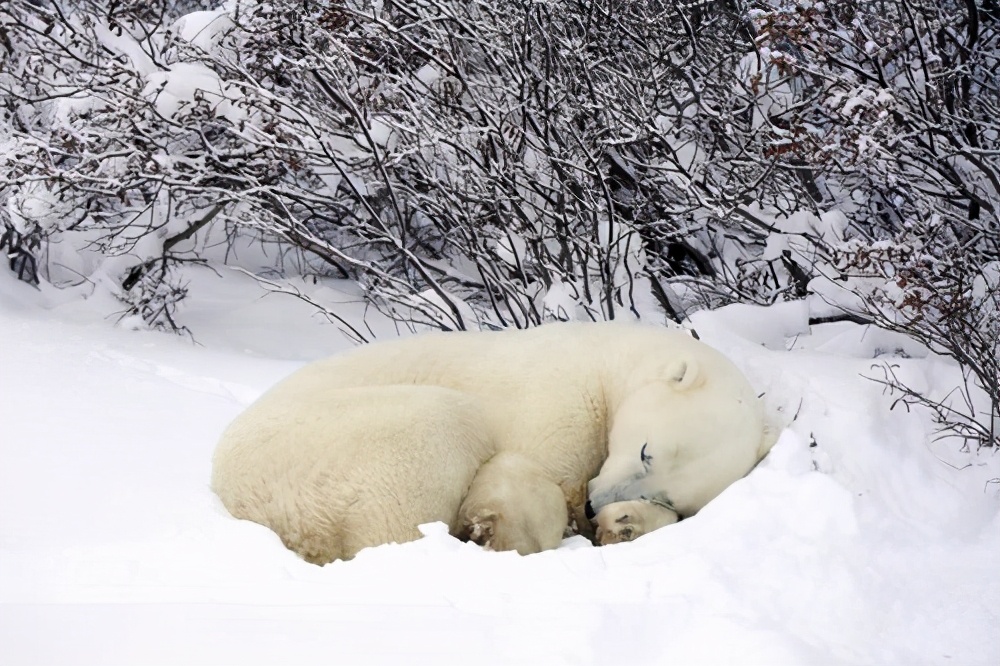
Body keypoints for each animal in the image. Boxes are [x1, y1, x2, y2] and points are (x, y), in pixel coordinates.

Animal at [213, 322, 772, 560]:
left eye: (667, 493)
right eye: (645, 449)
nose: (596, 505)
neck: (607, 363)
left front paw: (625, 524)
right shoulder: (558, 398)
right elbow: (531, 473)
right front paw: (511, 528)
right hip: (337, 446)